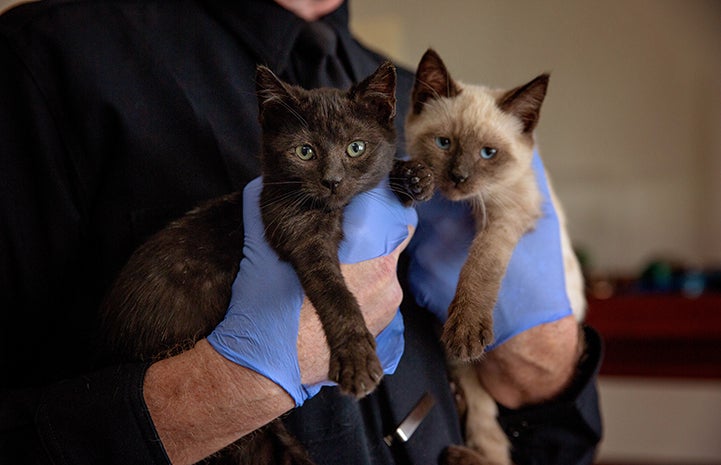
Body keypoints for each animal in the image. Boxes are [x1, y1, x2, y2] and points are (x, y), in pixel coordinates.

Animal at [404, 49, 584, 462]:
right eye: (444, 143)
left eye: (488, 153)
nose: (458, 178)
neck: (462, 206)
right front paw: (416, 180)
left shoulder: (509, 214)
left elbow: (480, 265)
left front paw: (467, 329)